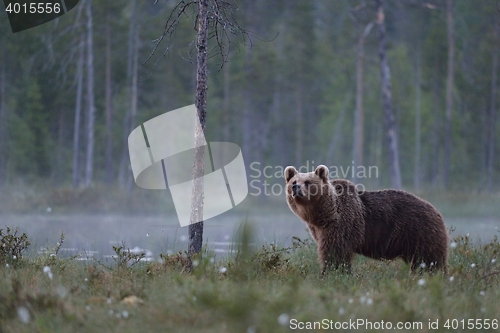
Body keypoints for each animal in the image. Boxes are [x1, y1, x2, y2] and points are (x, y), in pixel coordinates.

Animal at [286, 165, 450, 274]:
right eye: (293, 181)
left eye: (308, 182)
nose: (296, 188)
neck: (325, 215)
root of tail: (437, 211)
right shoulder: (319, 230)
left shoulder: (342, 224)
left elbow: (335, 252)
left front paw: (331, 272)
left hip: (420, 232)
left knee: (429, 259)